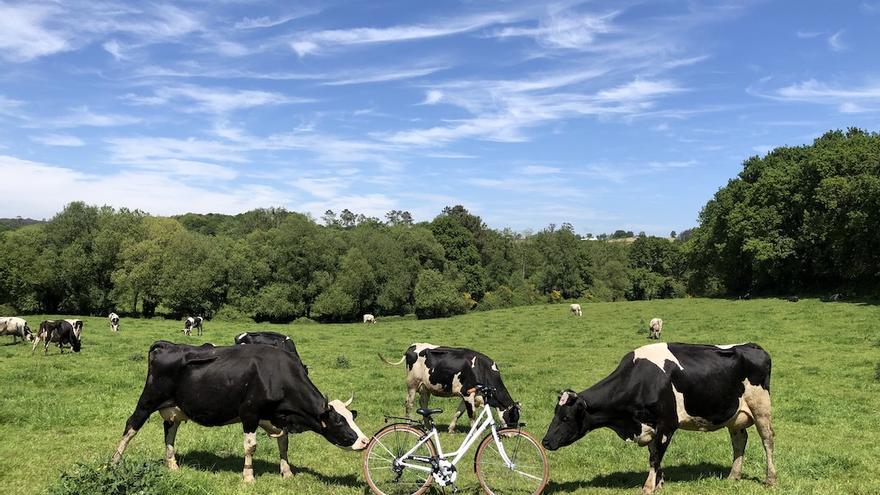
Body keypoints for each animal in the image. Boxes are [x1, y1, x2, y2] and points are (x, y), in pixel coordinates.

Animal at [111, 342, 368, 482]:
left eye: (351, 417)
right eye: (339, 421)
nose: (365, 441)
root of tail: (167, 344)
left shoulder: (276, 418)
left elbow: (283, 444)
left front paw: (287, 472)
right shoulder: (249, 414)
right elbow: (250, 447)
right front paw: (248, 476)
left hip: (174, 408)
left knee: (169, 432)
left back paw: (172, 465)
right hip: (149, 399)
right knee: (131, 426)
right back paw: (113, 463)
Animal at [376, 344, 516, 434]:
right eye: (514, 417)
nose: (512, 435)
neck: (481, 369)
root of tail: (412, 346)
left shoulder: (466, 395)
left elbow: (459, 412)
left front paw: (451, 429)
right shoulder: (467, 393)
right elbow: (472, 415)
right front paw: (475, 433)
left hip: (425, 387)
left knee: (423, 403)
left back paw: (428, 427)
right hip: (412, 384)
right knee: (409, 404)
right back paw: (409, 424)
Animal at [540, 342, 772, 494]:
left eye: (566, 418)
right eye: (555, 414)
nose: (545, 441)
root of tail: (752, 346)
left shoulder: (666, 424)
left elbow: (655, 457)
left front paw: (649, 486)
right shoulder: (650, 425)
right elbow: (654, 455)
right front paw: (659, 483)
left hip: (761, 407)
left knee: (767, 439)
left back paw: (770, 479)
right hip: (735, 415)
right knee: (739, 441)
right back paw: (733, 476)